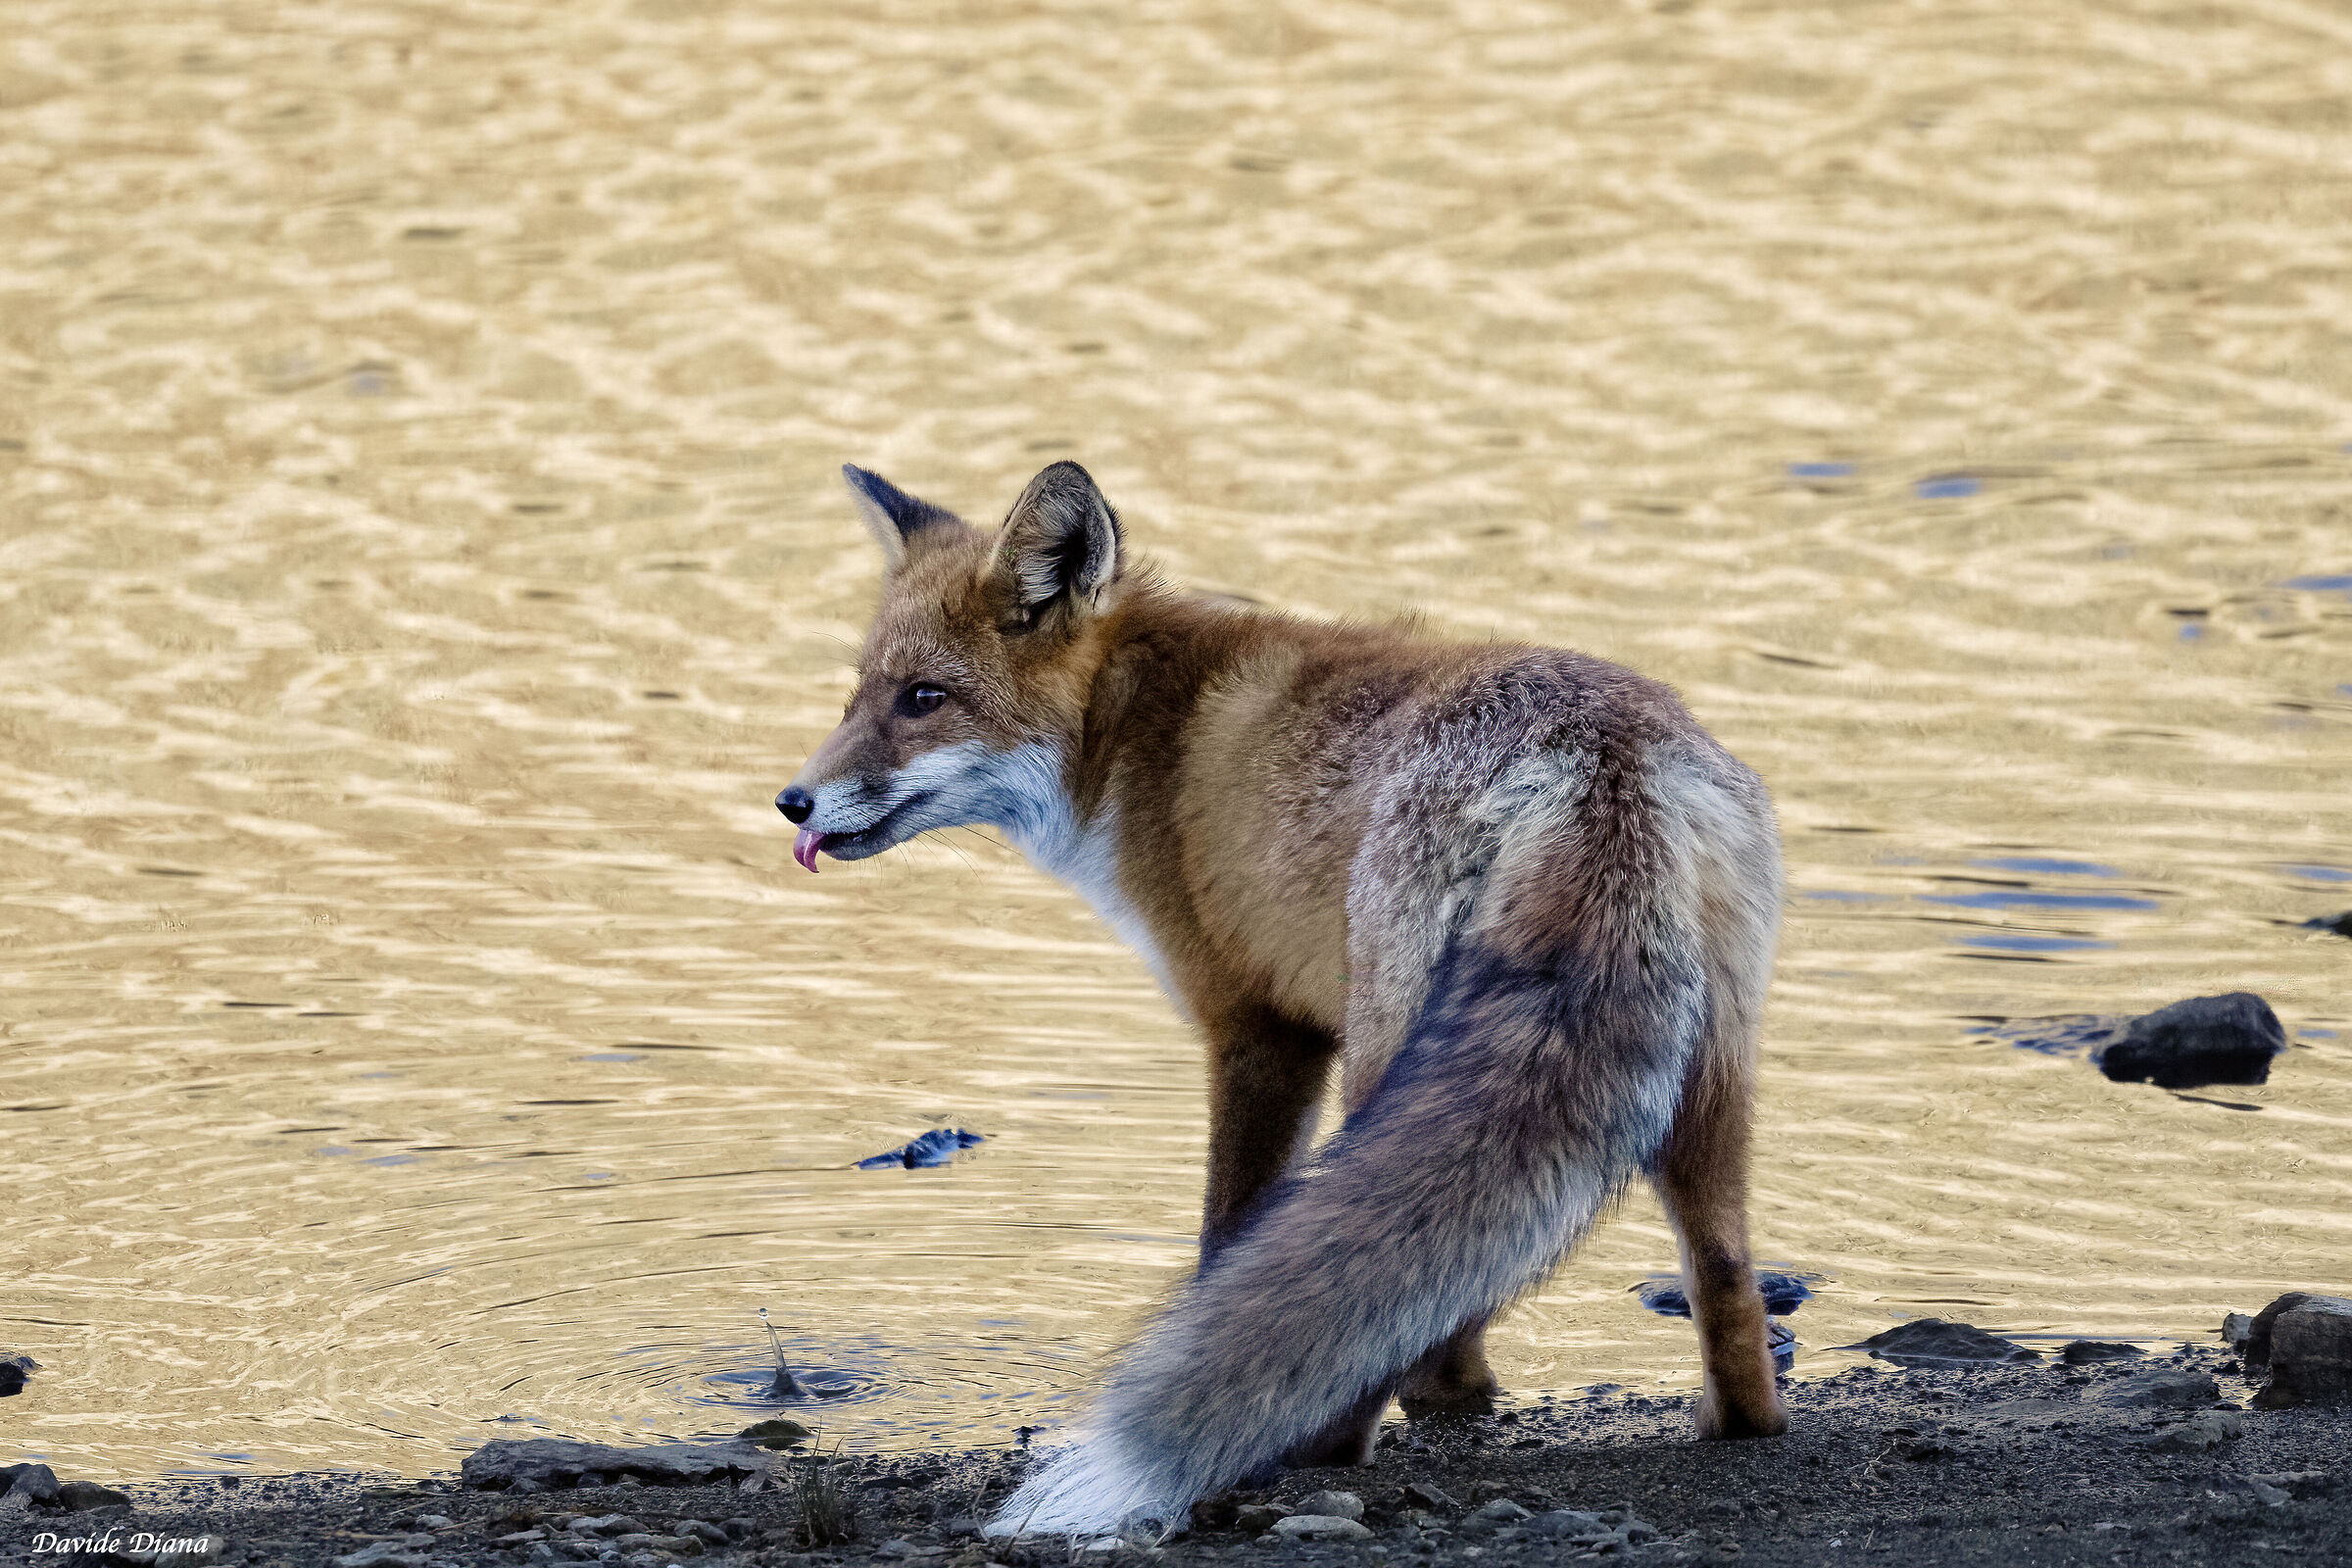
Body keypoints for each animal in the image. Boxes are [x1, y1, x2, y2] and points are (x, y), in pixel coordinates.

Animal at [776, 460, 1788, 1536]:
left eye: (925, 698)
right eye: (858, 694)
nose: (791, 802)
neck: (1143, 735)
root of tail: (1598, 758)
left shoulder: (1258, 1026)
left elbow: (1229, 1234)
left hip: (1392, 1055)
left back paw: (1311, 1447)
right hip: (1706, 1076)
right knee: (1721, 1279)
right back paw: (1720, 1420)